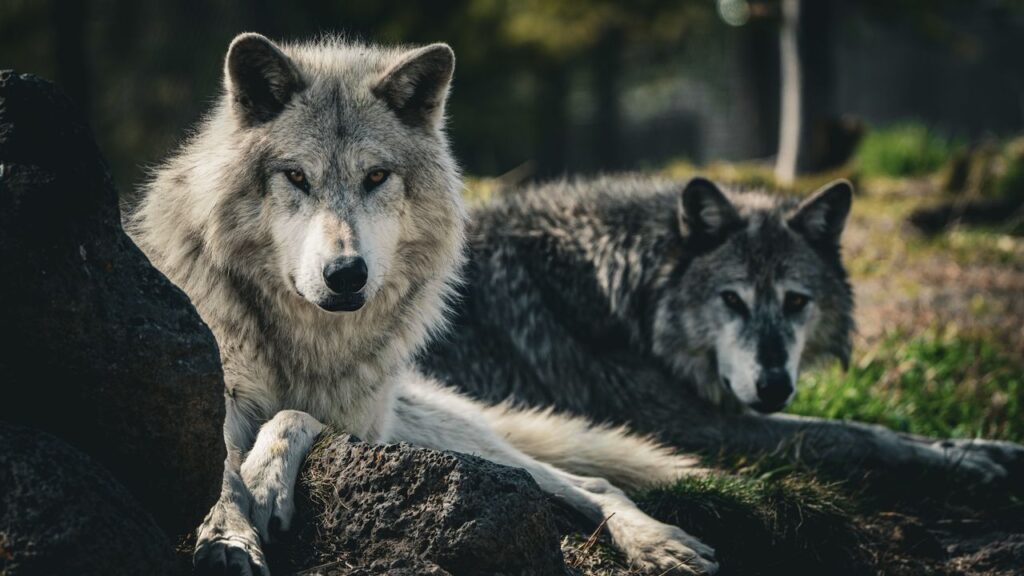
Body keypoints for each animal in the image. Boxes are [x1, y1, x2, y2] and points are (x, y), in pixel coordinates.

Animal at [128, 34, 720, 575]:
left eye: (376, 177)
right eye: (296, 176)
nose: (346, 274)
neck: (307, 341)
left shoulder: (364, 425)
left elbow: (293, 415)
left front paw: (265, 481)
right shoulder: (215, 397)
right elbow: (221, 473)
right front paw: (229, 539)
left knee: (591, 482)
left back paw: (660, 542)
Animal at [421, 176, 1024, 484]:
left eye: (796, 301)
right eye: (731, 300)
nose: (774, 386)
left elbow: (870, 424)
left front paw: (985, 446)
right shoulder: (691, 425)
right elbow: (851, 432)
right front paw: (964, 460)